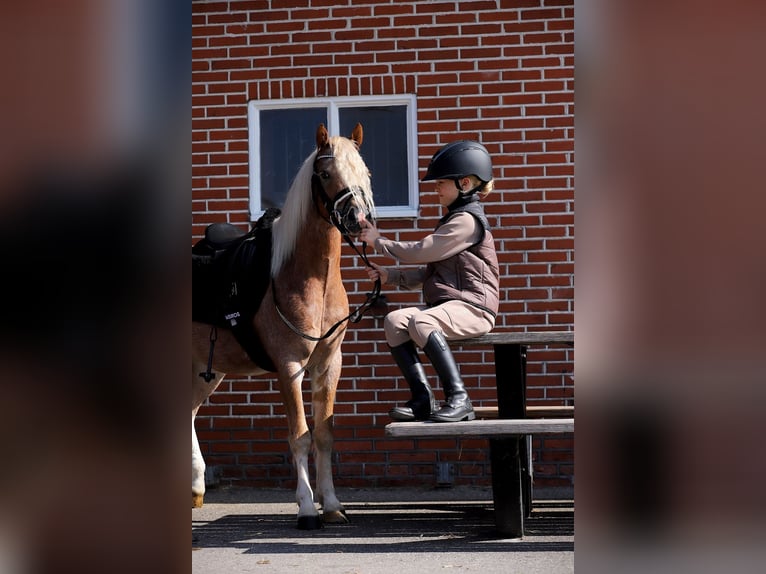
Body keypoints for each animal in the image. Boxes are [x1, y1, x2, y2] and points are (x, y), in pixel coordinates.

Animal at [190, 125, 374, 532]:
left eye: (366, 172)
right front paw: (306, 509)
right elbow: (300, 436)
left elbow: (324, 435)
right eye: (325, 173)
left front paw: (332, 505)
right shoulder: (289, 367)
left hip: (206, 371)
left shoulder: (328, 365)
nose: (357, 219)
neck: (307, 278)